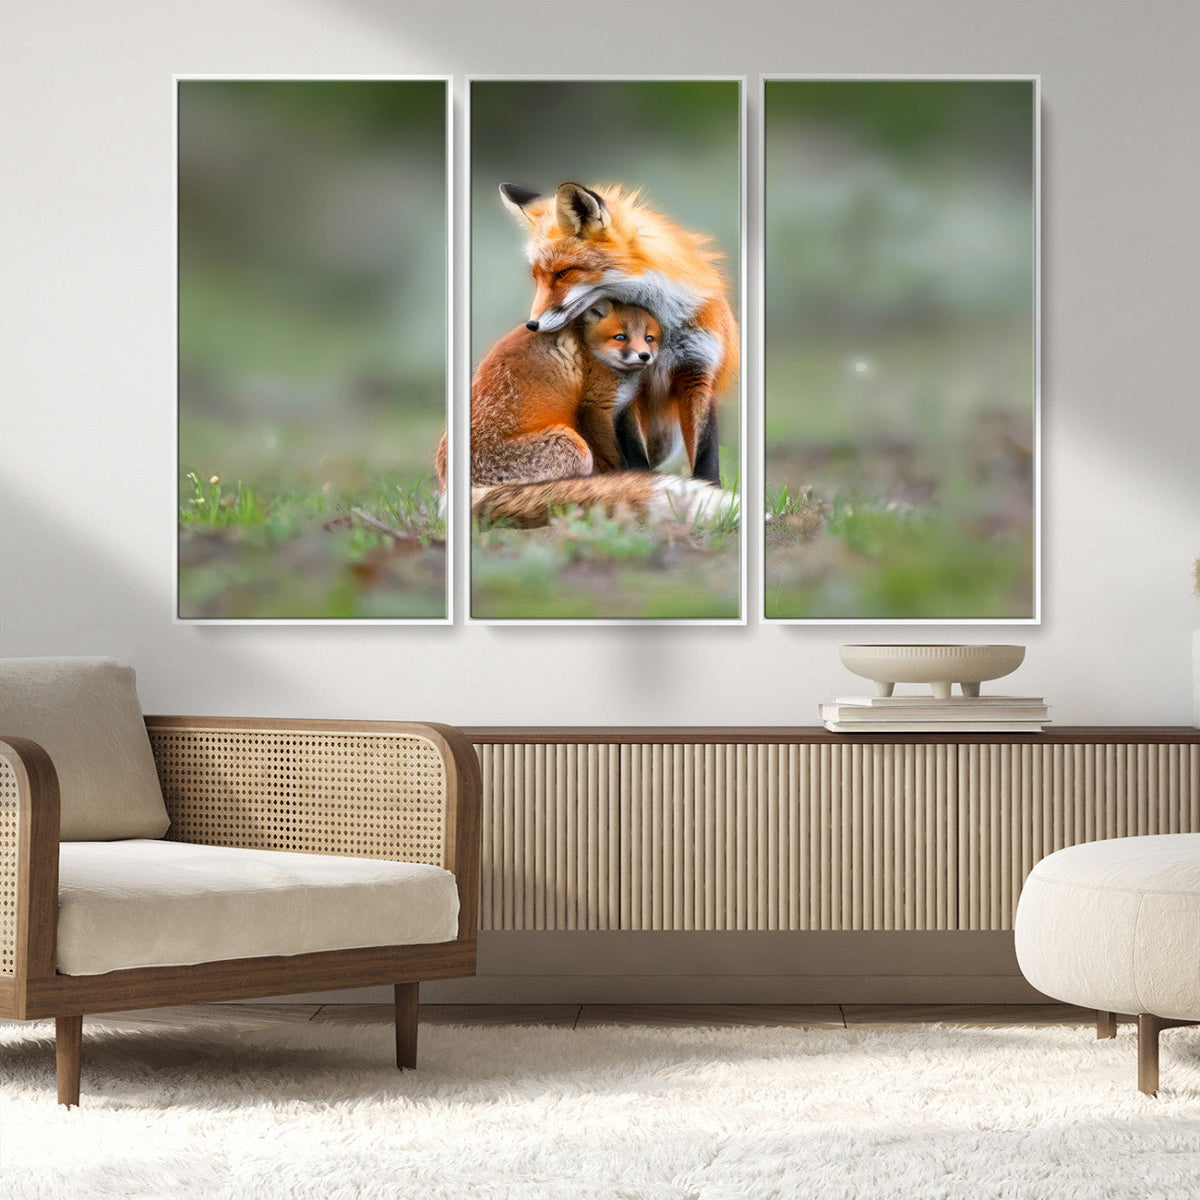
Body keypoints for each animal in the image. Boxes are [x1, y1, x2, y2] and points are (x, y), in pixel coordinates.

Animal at [498, 180, 739, 483]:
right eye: (538, 277)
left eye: (563, 273)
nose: (532, 325)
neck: (663, 329)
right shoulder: (628, 386)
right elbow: (634, 452)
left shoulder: (698, 371)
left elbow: (706, 454)